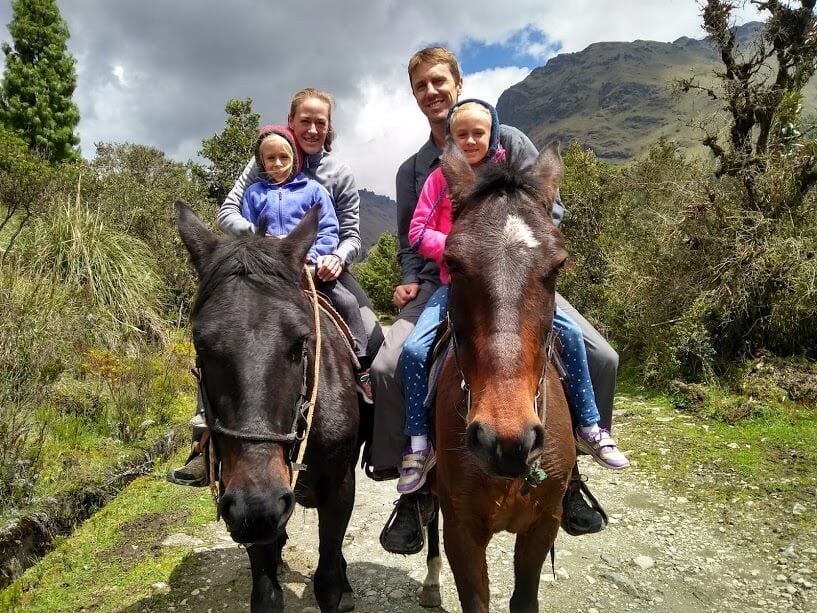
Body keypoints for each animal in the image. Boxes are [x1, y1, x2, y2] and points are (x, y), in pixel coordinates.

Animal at [176, 203, 364, 608]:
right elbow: (265, 593)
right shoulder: (239, 499)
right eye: (201, 345)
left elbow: (327, 580)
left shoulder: (340, 488)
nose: (259, 507)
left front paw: (339, 587)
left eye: (300, 342)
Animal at [430, 141, 572, 608]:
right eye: (453, 263)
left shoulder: (545, 523)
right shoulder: (460, 530)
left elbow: (524, 599)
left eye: (558, 266)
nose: (505, 440)